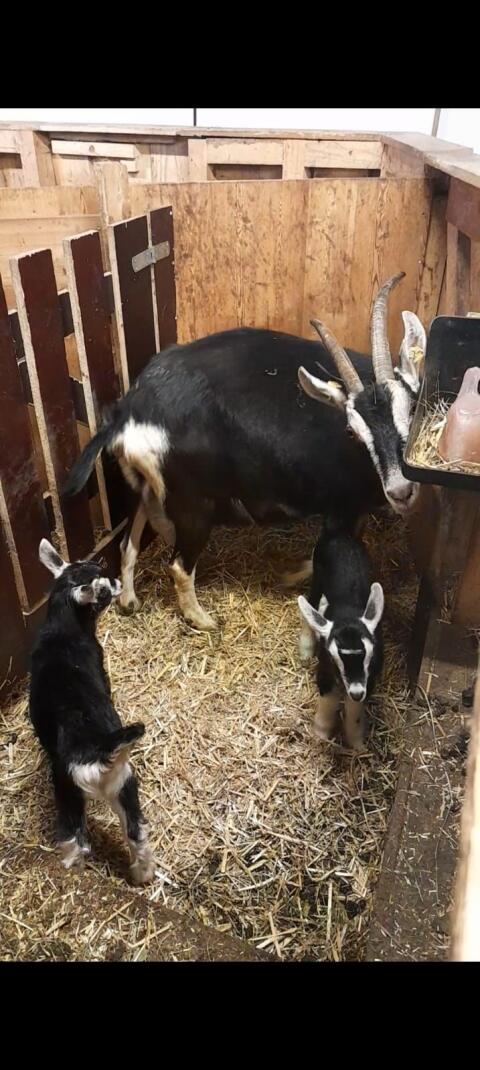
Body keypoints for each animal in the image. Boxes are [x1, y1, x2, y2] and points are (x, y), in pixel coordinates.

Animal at [29, 539, 155, 884]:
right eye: (103, 589)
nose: (117, 583)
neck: (62, 630)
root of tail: (97, 748)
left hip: (72, 794)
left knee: (77, 843)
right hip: (122, 783)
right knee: (135, 833)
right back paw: (143, 876)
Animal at [62, 272, 425, 632]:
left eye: (411, 409)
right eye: (352, 431)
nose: (401, 490)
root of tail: (129, 411)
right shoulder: (341, 507)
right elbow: (327, 549)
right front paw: (291, 575)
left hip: (144, 487)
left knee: (130, 538)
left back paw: (129, 600)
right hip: (194, 503)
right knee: (179, 564)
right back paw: (203, 620)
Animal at [298, 524, 384, 750]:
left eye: (369, 656)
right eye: (335, 658)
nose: (355, 691)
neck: (348, 614)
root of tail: (339, 533)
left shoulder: (370, 678)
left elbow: (355, 711)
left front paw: (356, 744)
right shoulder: (326, 669)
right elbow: (328, 700)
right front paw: (320, 734)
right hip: (317, 579)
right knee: (308, 602)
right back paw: (306, 648)